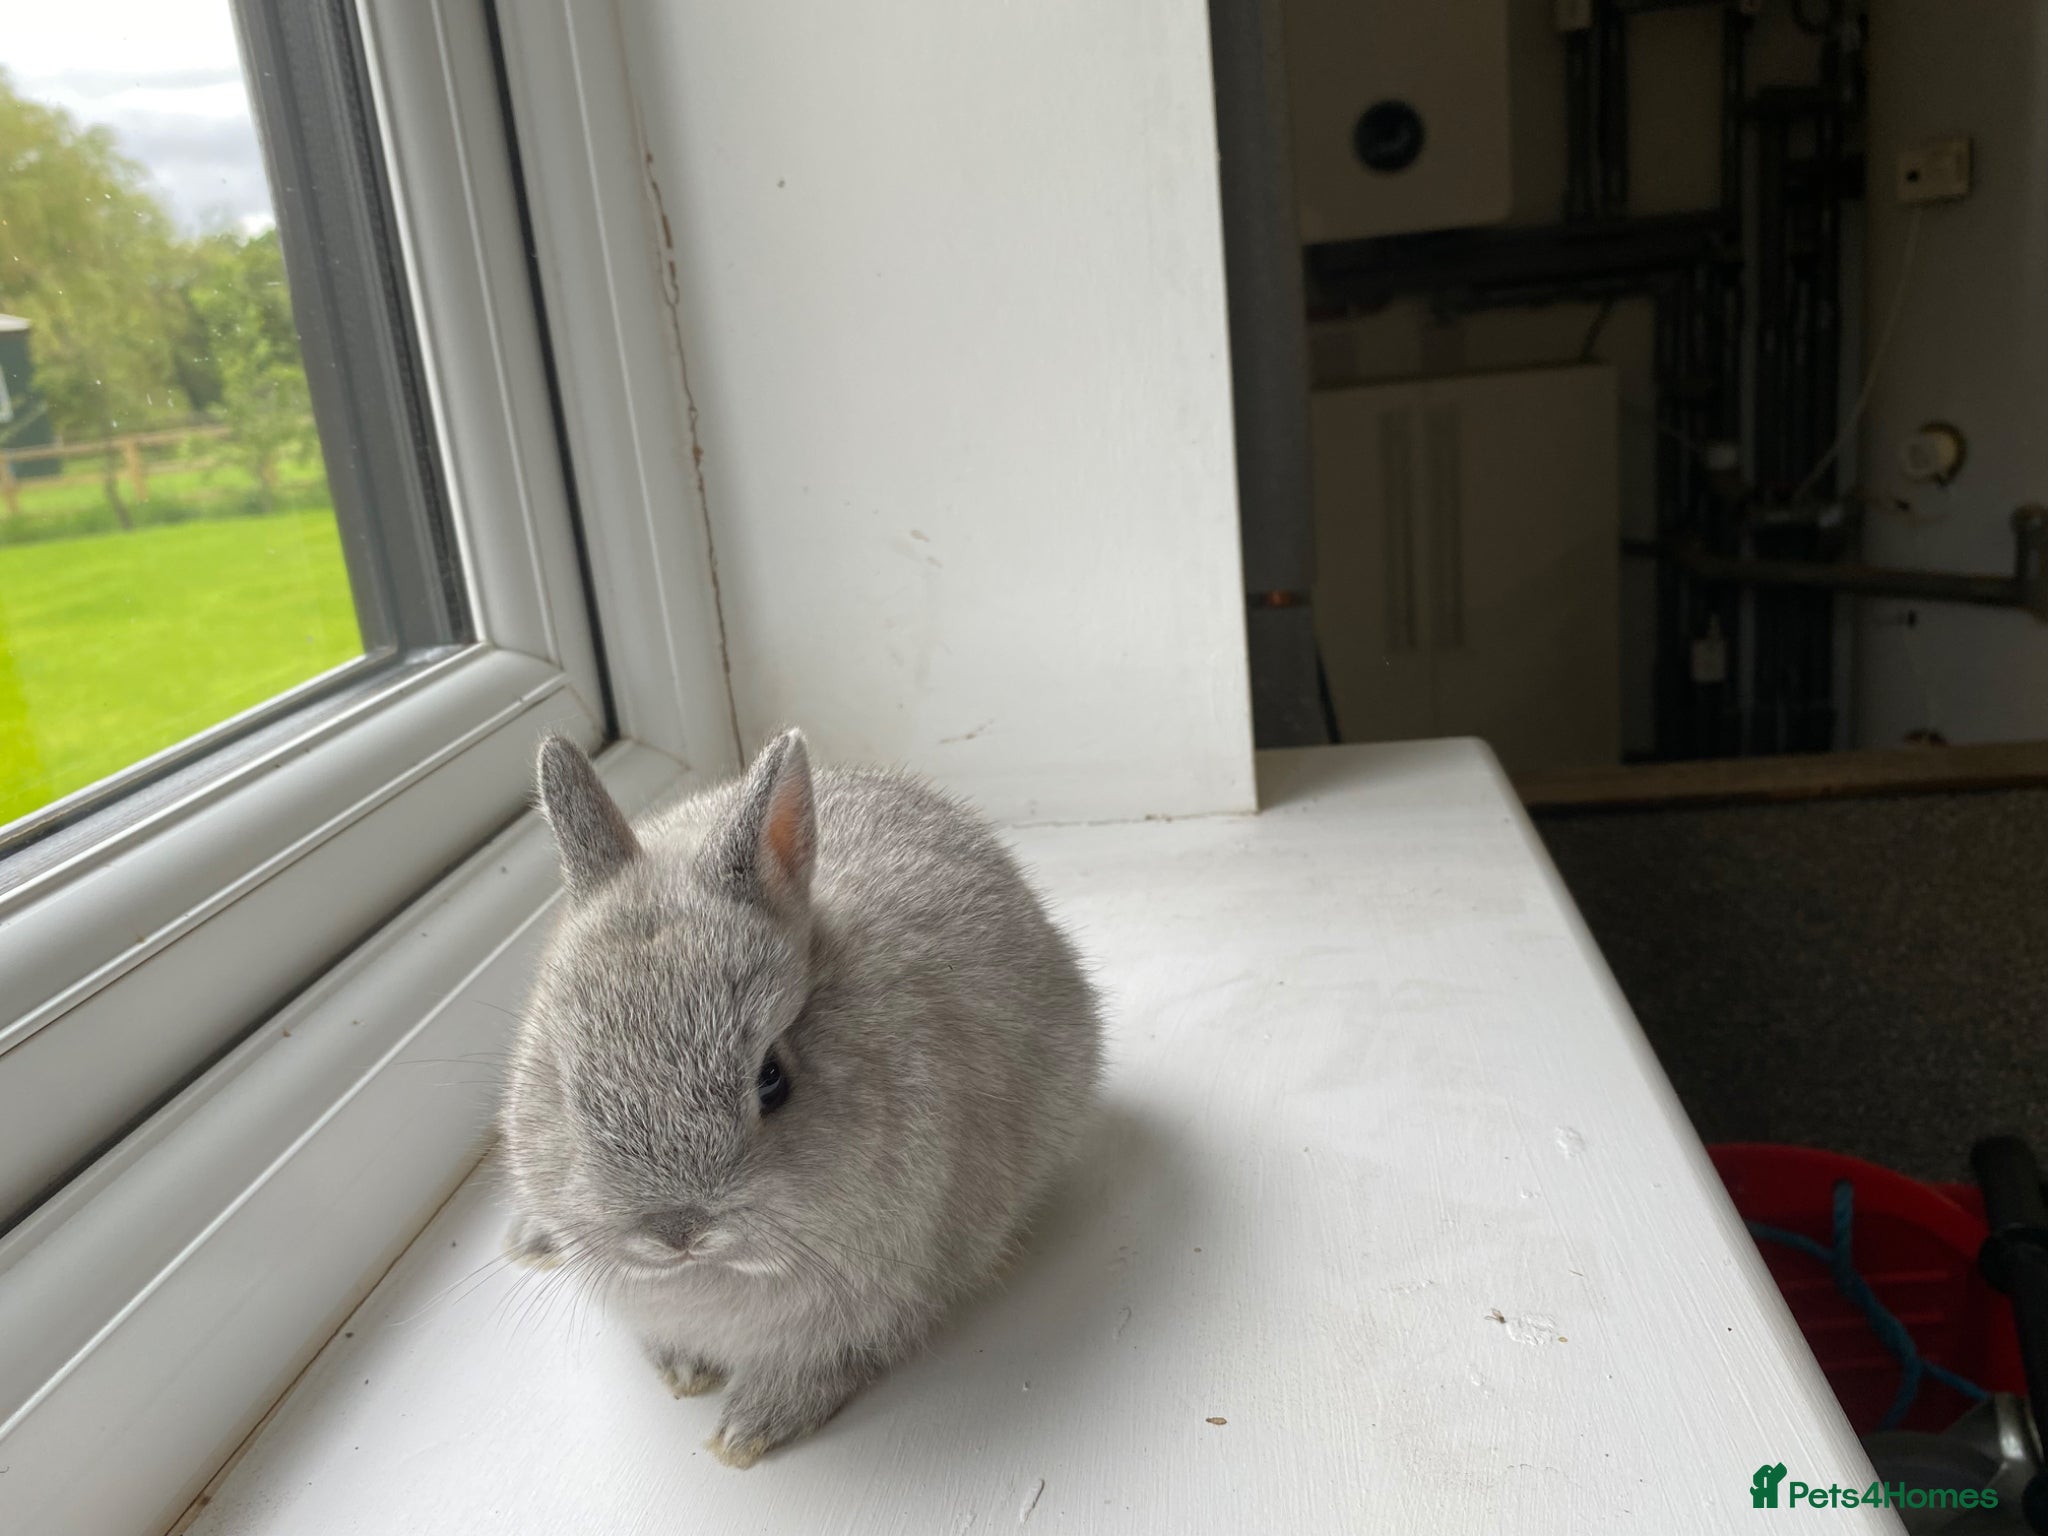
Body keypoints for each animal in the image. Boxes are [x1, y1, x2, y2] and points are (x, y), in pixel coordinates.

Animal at [497, 728, 1104, 1467]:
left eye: (773, 1078)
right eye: (565, 1082)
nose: (678, 1232)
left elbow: (826, 1364)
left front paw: (746, 1432)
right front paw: (682, 1370)